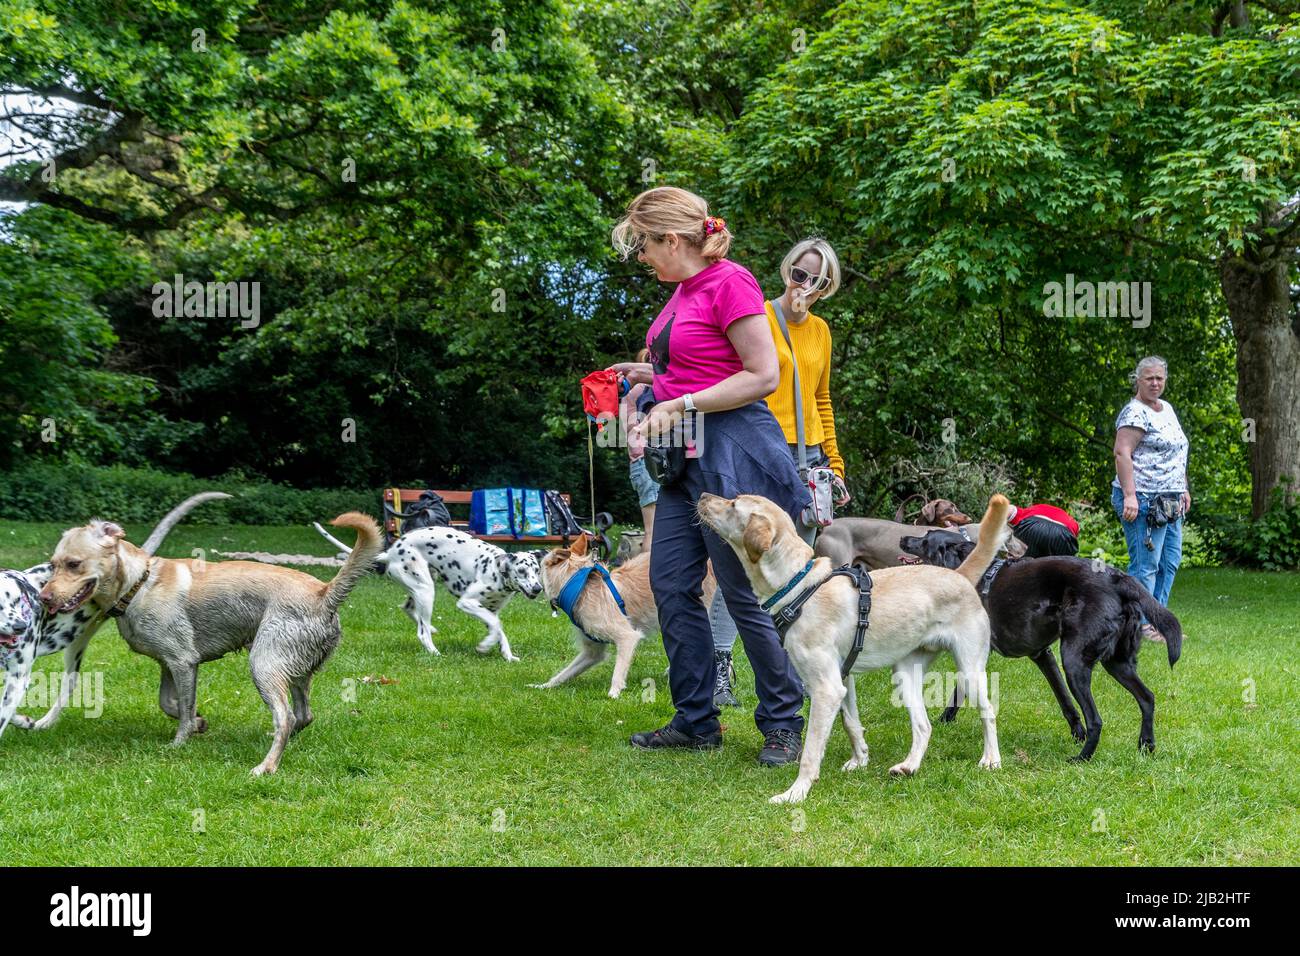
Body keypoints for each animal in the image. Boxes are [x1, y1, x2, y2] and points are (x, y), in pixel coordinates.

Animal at [39, 512, 379, 775]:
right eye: (53, 564)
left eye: (73, 564)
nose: (43, 598)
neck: (139, 583)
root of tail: (325, 594)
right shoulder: (168, 664)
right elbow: (170, 703)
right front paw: (199, 724)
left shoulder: (183, 661)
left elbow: (183, 709)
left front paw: (180, 742)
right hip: (295, 672)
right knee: (303, 715)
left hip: (264, 665)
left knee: (286, 717)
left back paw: (266, 766)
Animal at [317, 522, 546, 665]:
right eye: (522, 571)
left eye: (537, 570)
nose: (538, 588)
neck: (496, 570)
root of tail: (391, 551)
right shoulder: (468, 603)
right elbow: (497, 626)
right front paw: (485, 646)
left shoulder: (490, 610)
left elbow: (499, 631)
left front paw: (507, 655)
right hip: (426, 590)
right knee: (421, 631)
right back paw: (434, 651)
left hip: (421, 588)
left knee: (409, 610)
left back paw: (432, 629)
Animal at [535, 535, 722, 697]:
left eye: (539, 567)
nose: (535, 587)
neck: (580, 587)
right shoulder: (592, 652)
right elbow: (566, 672)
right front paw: (545, 685)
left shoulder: (627, 637)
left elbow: (618, 670)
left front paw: (613, 694)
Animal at [696, 494, 1008, 801]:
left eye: (734, 504)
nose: (702, 496)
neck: (798, 587)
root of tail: (960, 575)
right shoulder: (843, 679)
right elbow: (851, 723)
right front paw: (860, 759)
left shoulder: (826, 688)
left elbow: (811, 751)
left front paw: (796, 792)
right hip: (906, 676)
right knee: (923, 726)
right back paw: (909, 766)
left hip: (970, 672)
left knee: (988, 713)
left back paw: (991, 760)